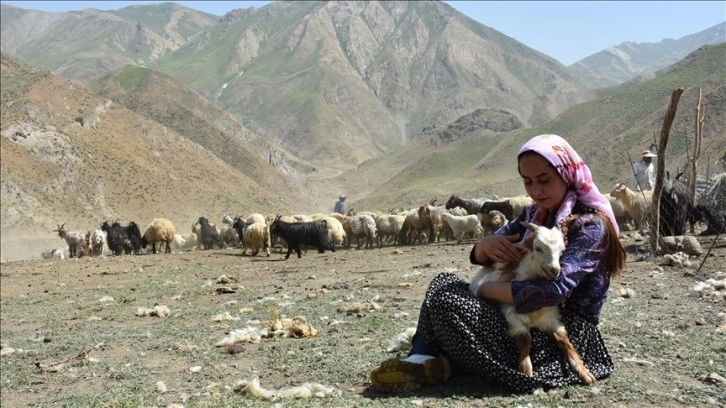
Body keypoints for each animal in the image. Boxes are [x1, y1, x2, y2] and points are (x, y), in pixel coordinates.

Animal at [472, 223, 596, 386]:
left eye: (562, 251)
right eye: (538, 248)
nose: (554, 270)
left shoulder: (550, 317)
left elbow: (563, 339)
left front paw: (582, 371)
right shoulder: (512, 314)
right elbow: (525, 338)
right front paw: (526, 372)